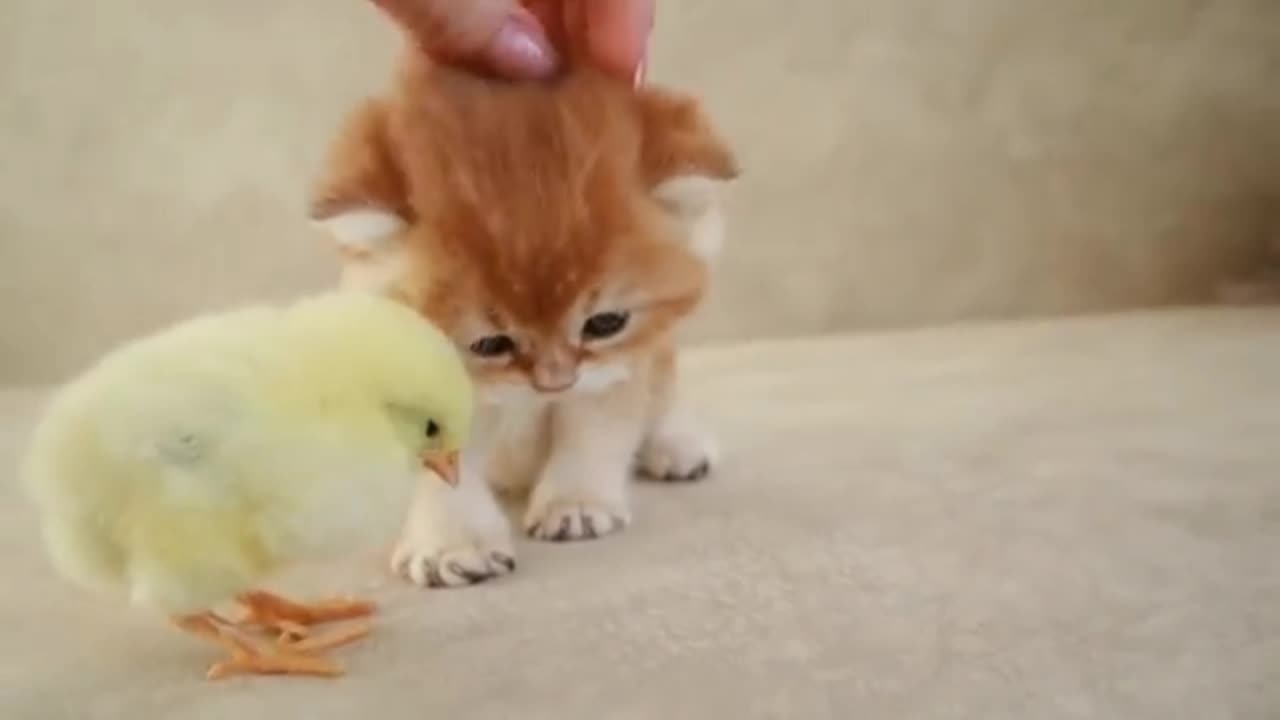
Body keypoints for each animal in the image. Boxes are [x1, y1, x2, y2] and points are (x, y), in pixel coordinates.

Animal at [305, 43, 742, 584]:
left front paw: (576, 504)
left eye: (604, 324)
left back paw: (676, 444)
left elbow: (595, 429)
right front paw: (453, 542)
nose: (554, 383)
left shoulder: (615, 367)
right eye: (489, 344)